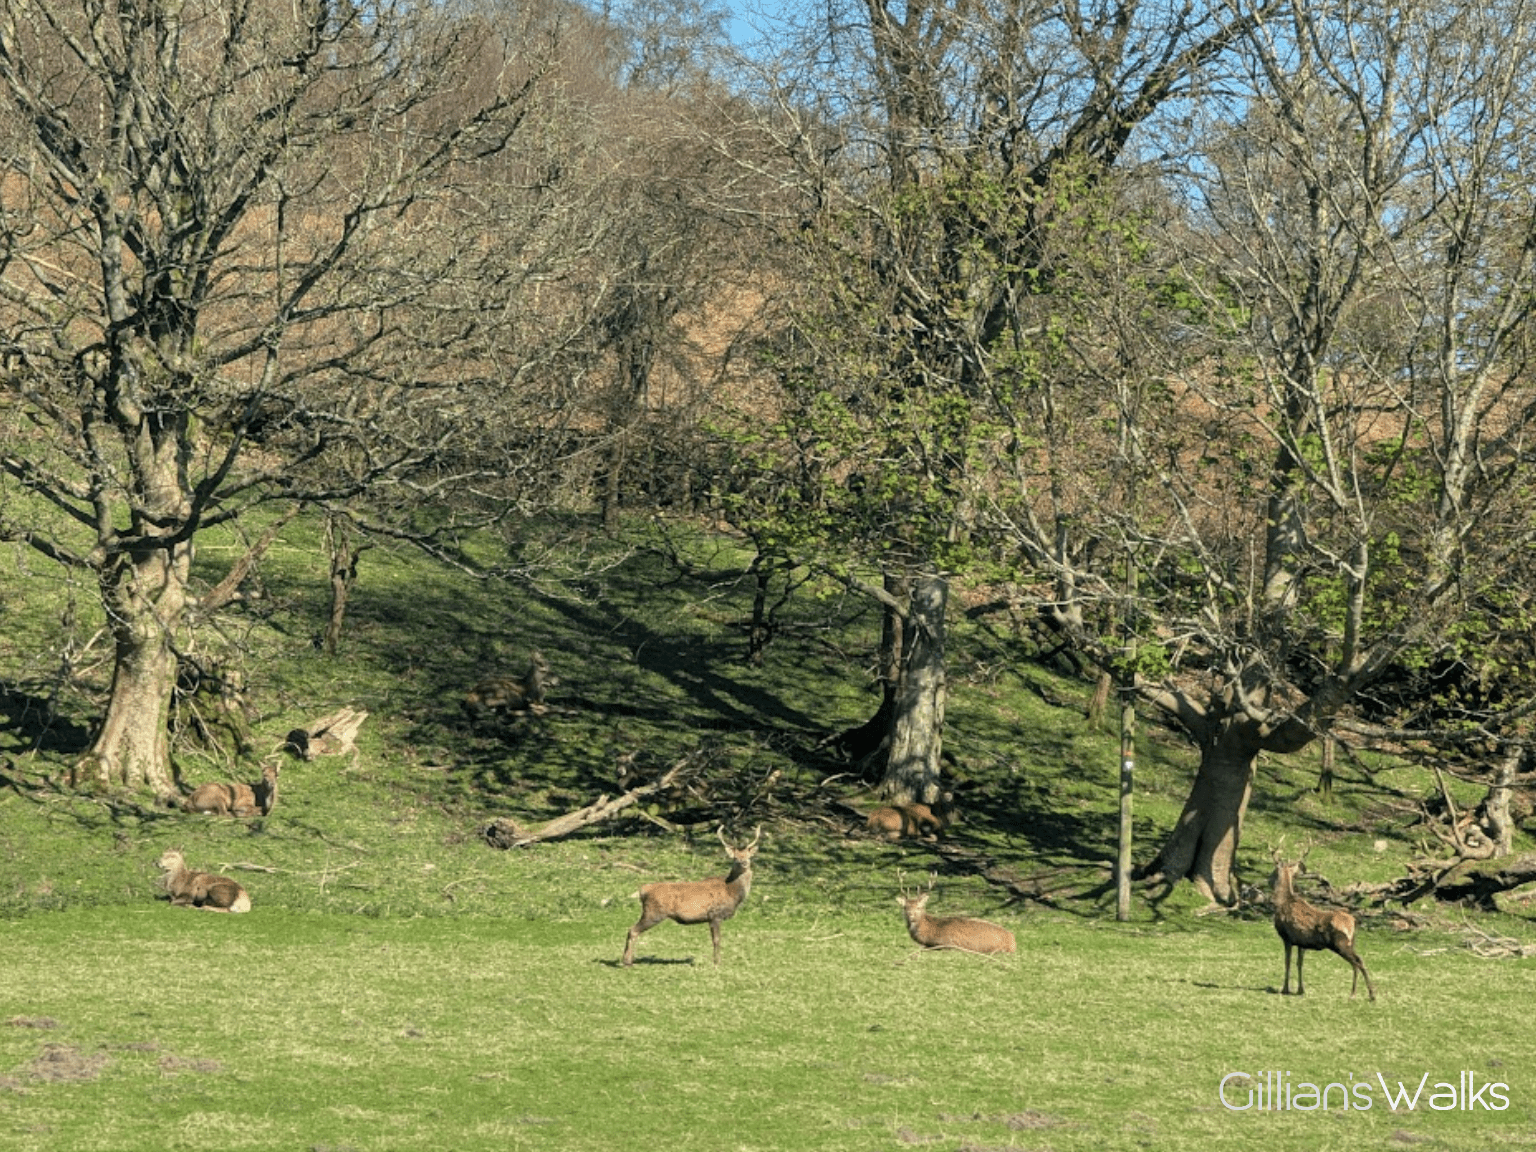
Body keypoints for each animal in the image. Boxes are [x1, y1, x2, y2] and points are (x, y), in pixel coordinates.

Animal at [621, 825, 761, 967]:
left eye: (748, 856)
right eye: (735, 858)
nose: (744, 863)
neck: (732, 892)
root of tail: (643, 890)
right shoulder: (715, 915)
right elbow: (716, 940)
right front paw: (717, 962)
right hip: (653, 912)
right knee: (632, 930)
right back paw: (627, 961)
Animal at [1269, 848, 1375, 1001]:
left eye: (1273, 871)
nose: (1268, 880)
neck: (1282, 902)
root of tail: (1353, 922)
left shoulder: (1287, 937)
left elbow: (1287, 962)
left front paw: (1285, 989)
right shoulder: (1302, 942)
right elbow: (1299, 963)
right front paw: (1300, 989)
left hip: (1340, 943)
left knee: (1357, 961)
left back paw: (1366, 994)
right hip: (1351, 942)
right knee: (1357, 961)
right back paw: (1357, 993)